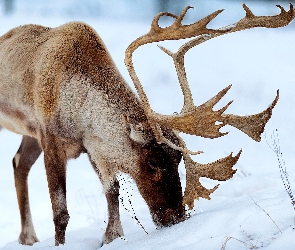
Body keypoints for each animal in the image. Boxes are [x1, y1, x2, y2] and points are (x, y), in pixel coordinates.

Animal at [0, 2, 294, 247]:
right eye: (152, 161)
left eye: (178, 158)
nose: (176, 217)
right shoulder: (50, 139)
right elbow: (60, 212)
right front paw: (61, 244)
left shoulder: (93, 147)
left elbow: (112, 192)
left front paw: (112, 236)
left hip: (29, 136)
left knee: (18, 163)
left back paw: (27, 237)